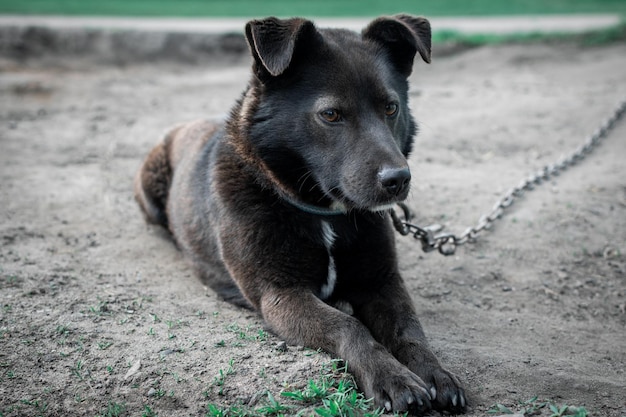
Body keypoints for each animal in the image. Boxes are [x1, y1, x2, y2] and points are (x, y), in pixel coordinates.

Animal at [134, 15, 466, 412]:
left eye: (391, 108)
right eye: (331, 114)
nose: (398, 180)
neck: (326, 214)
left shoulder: (382, 281)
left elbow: (409, 329)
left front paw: (435, 374)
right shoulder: (281, 295)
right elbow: (348, 326)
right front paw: (393, 378)